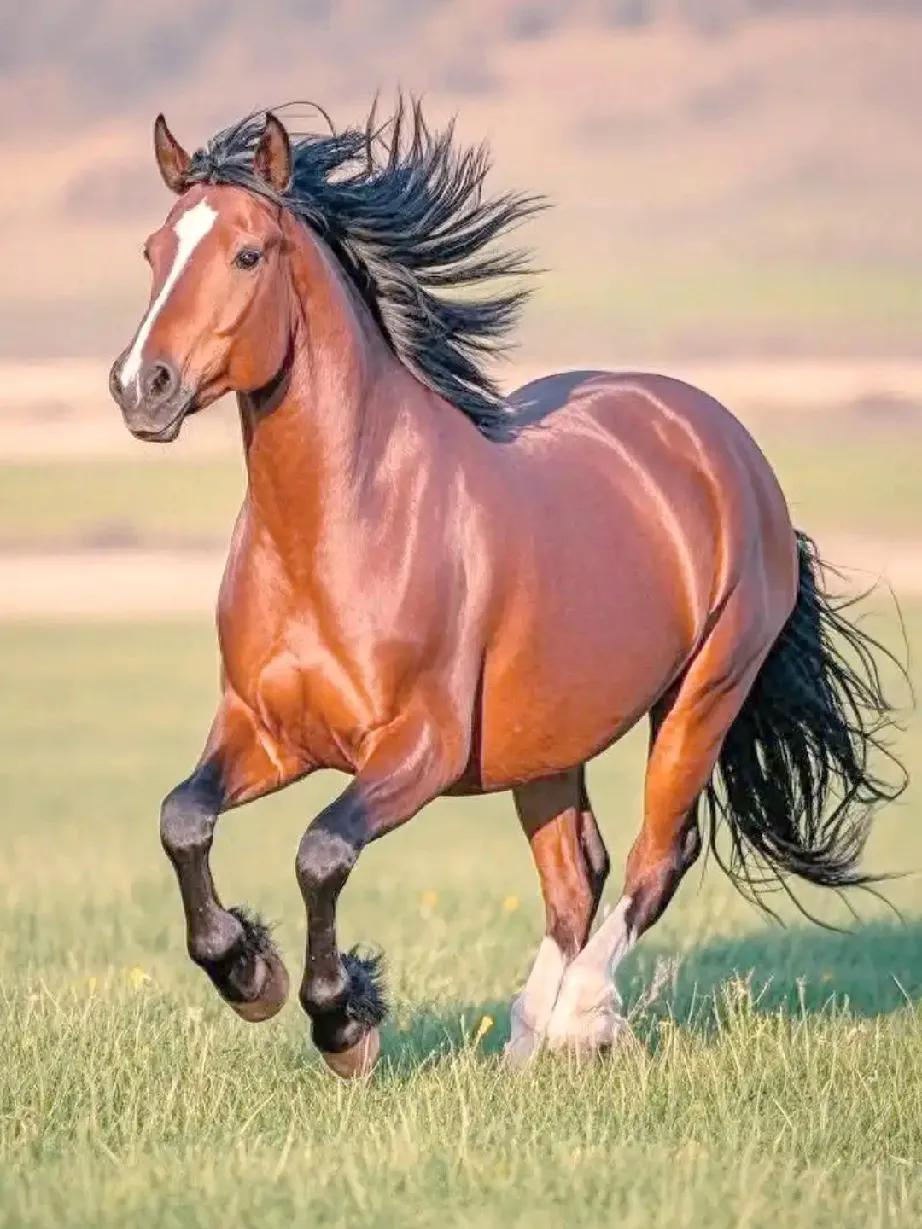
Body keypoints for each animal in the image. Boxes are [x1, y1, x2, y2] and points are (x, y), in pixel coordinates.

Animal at [108, 101, 904, 1078]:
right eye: (153, 249)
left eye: (248, 254)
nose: (141, 387)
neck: (339, 527)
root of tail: (723, 440)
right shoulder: (266, 729)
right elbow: (183, 818)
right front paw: (246, 969)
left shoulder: (418, 748)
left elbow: (322, 850)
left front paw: (341, 1020)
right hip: (547, 739)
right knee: (576, 873)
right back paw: (526, 1041)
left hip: (704, 693)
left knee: (656, 855)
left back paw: (580, 1018)